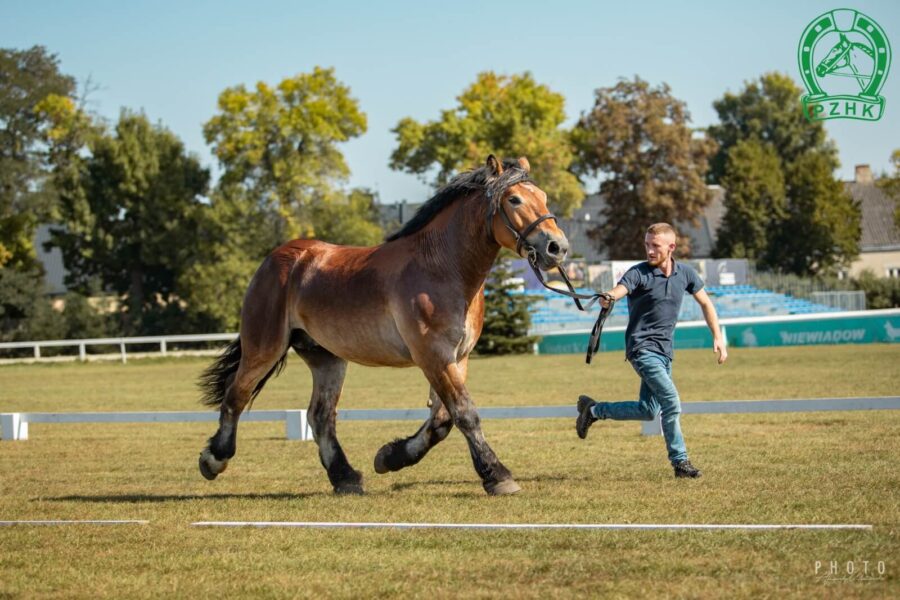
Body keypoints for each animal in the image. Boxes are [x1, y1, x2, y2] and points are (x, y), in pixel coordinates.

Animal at [200, 155, 568, 496]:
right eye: (514, 199)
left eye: (543, 196)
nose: (557, 247)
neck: (442, 267)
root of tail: (276, 259)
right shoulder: (434, 356)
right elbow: (464, 413)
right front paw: (497, 476)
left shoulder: (457, 358)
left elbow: (442, 420)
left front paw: (390, 456)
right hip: (264, 347)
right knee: (236, 395)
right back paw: (213, 459)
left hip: (326, 358)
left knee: (320, 416)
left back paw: (346, 477)